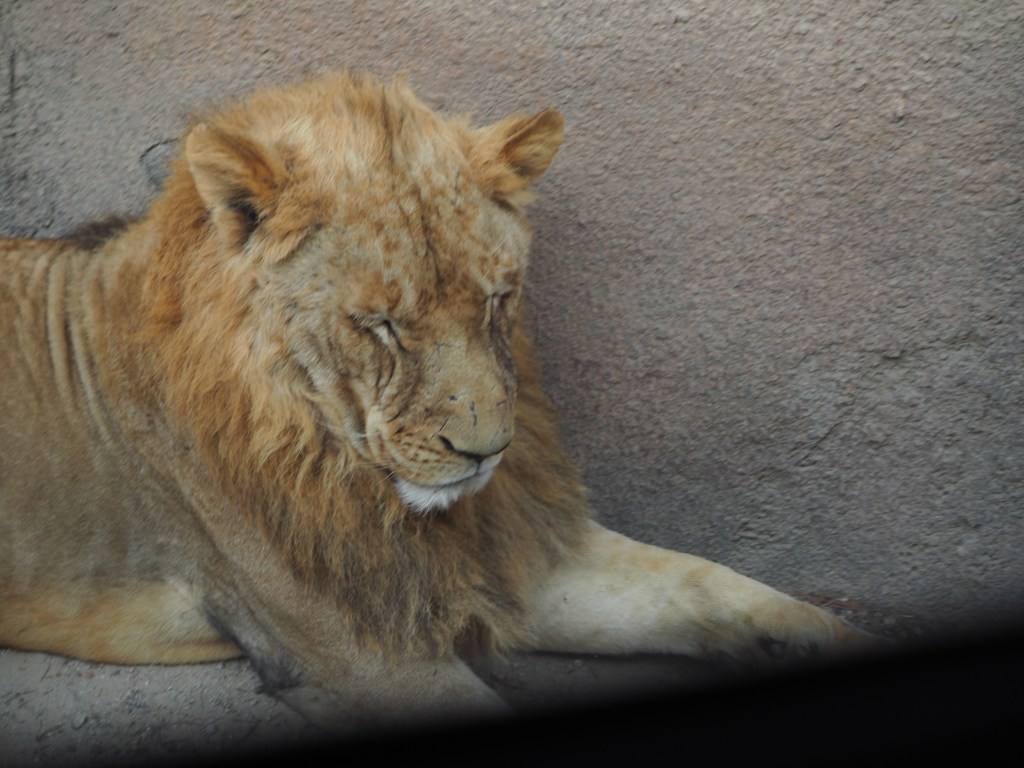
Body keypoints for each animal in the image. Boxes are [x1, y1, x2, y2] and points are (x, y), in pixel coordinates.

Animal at [0, 71, 875, 733]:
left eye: (496, 300)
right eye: (382, 325)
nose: (486, 454)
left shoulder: (506, 553)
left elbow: (705, 583)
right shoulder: (360, 649)